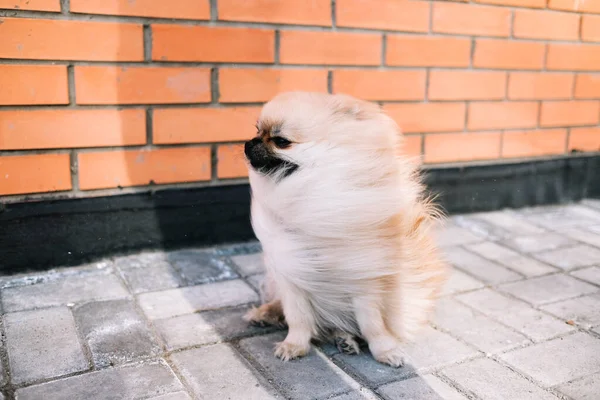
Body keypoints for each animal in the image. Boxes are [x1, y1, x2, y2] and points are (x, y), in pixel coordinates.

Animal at [243, 92, 446, 368]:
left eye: (281, 141)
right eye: (257, 130)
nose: (248, 142)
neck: (312, 192)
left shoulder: (364, 281)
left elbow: (373, 325)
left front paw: (384, 350)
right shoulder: (291, 276)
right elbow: (297, 318)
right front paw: (294, 345)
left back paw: (345, 339)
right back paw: (264, 314)